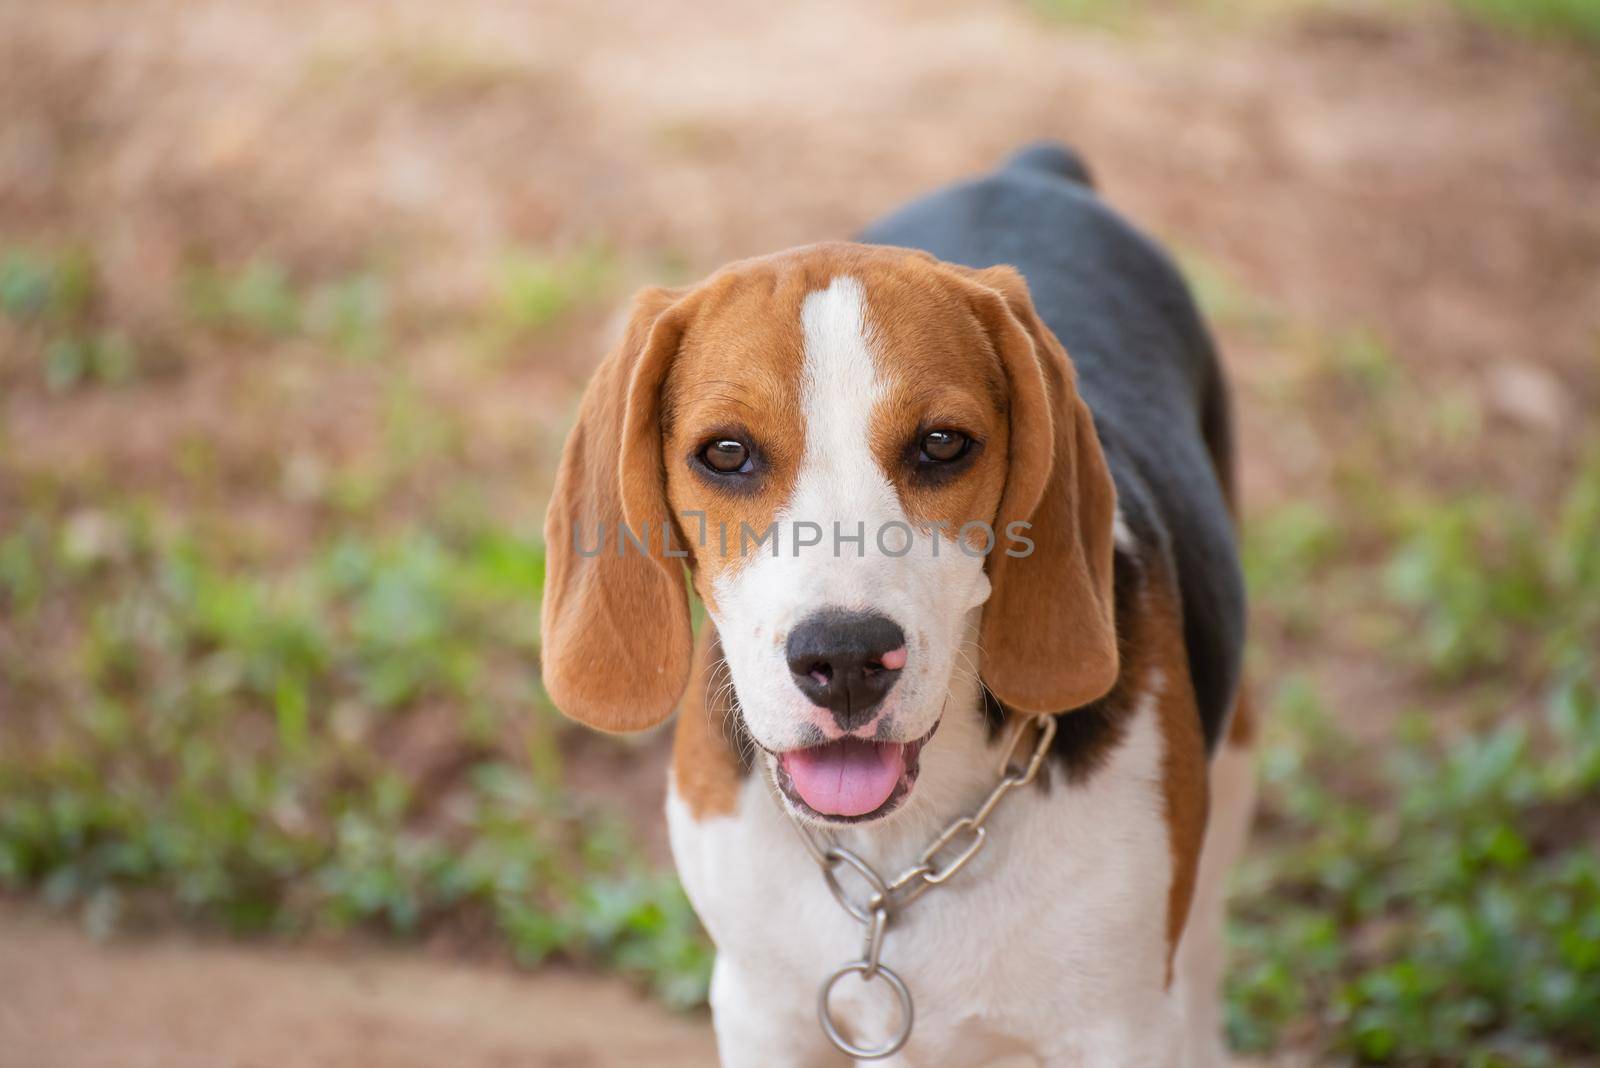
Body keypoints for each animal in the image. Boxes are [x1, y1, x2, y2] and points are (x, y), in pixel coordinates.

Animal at [544, 143, 1254, 1068]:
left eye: (943, 444)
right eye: (726, 453)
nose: (844, 659)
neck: (892, 865)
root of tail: (1032, 168)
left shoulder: (1120, 1030)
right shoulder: (759, 1011)